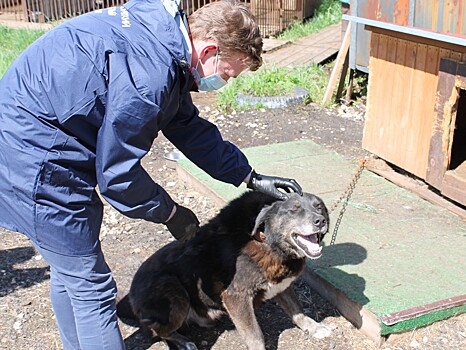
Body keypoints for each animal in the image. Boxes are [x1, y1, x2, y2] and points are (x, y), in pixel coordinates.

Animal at [120, 191, 332, 350]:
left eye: (319, 206)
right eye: (294, 210)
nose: (320, 221)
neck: (268, 242)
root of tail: (131, 295)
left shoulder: (282, 286)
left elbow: (298, 311)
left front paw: (314, 327)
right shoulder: (235, 297)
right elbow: (255, 335)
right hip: (174, 290)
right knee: (154, 330)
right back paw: (183, 341)